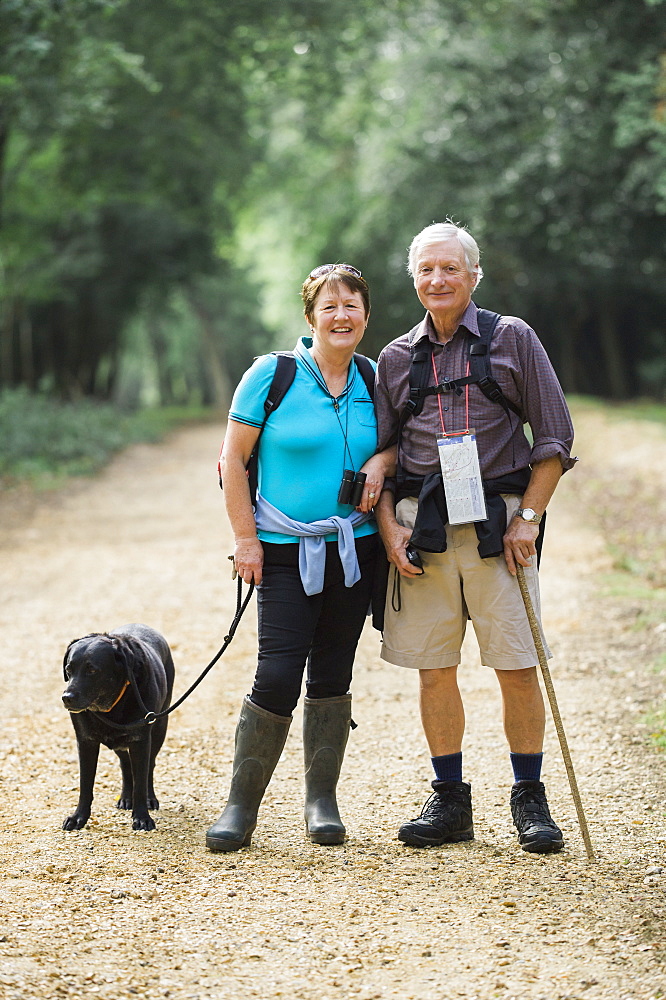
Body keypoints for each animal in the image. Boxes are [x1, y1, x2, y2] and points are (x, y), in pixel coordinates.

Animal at [61, 624, 174, 828]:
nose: (66, 698)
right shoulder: (85, 742)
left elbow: (140, 783)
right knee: (125, 764)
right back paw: (126, 798)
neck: (109, 706)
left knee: (149, 766)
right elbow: (85, 784)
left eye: (92, 670)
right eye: (69, 669)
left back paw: (150, 798)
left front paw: (142, 817)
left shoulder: (141, 741)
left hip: (159, 728)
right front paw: (78, 817)